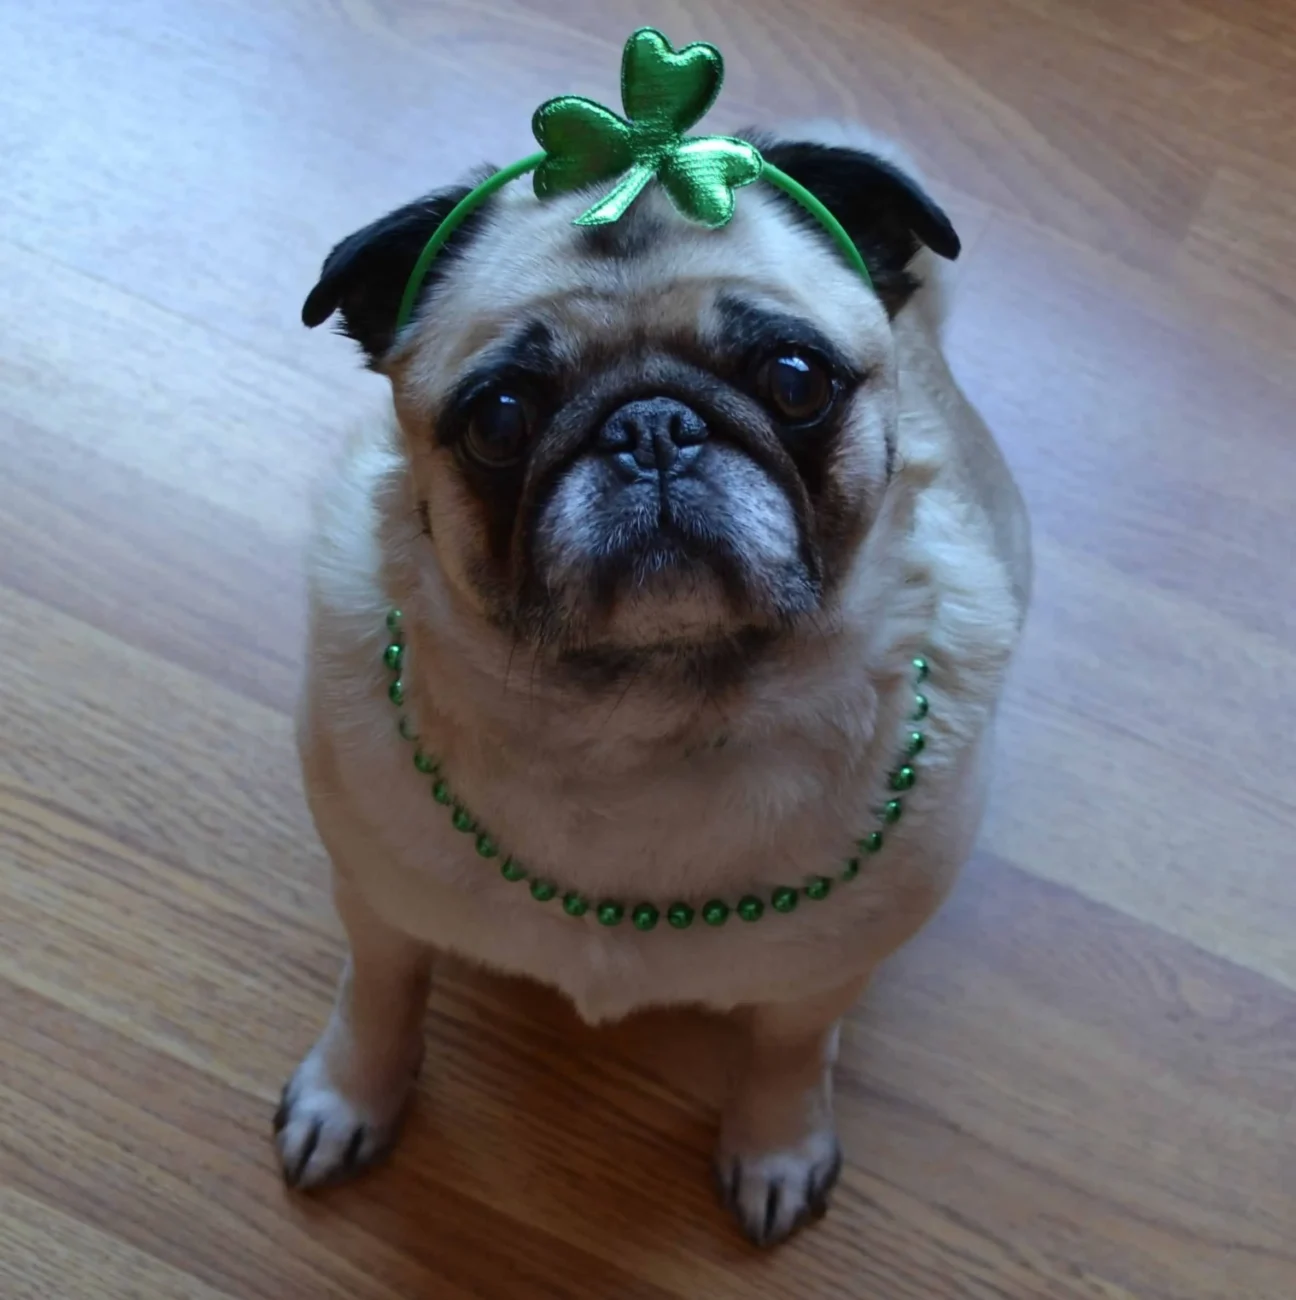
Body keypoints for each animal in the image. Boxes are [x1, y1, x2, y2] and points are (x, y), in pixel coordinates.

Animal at [278, 124, 1024, 1248]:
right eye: (499, 420)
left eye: (796, 380)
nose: (652, 428)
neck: (644, 728)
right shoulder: (379, 903)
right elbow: (380, 994)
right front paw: (350, 1094)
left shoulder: (820, 979)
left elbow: (788, 1052)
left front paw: (775, 1145)